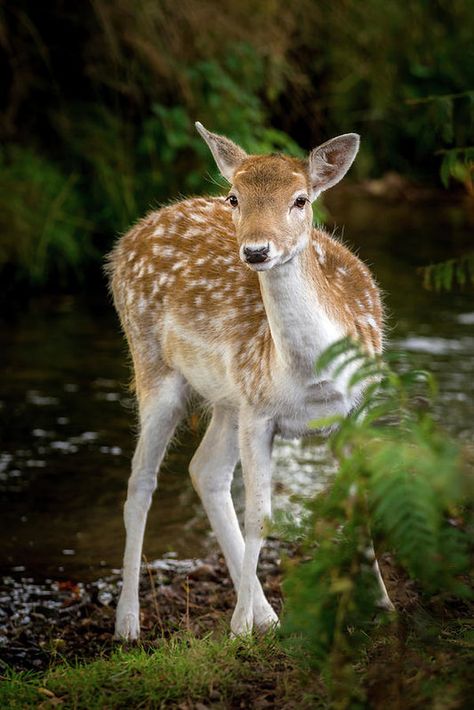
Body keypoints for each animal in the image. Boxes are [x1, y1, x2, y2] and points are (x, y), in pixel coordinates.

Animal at [107, 124, 392, 644]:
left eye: (301, 199)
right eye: (234, 197)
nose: (257, 250)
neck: (311, 379)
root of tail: (127, 239)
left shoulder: (354, 412)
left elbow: (360, 505)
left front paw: (383, 605)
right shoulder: (260, 413)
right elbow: (261, 515)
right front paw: (238, 628)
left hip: (228, 399)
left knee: (205, 471)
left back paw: (267, 613)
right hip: (154, 367)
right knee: (141, 482)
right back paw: (129, 622)